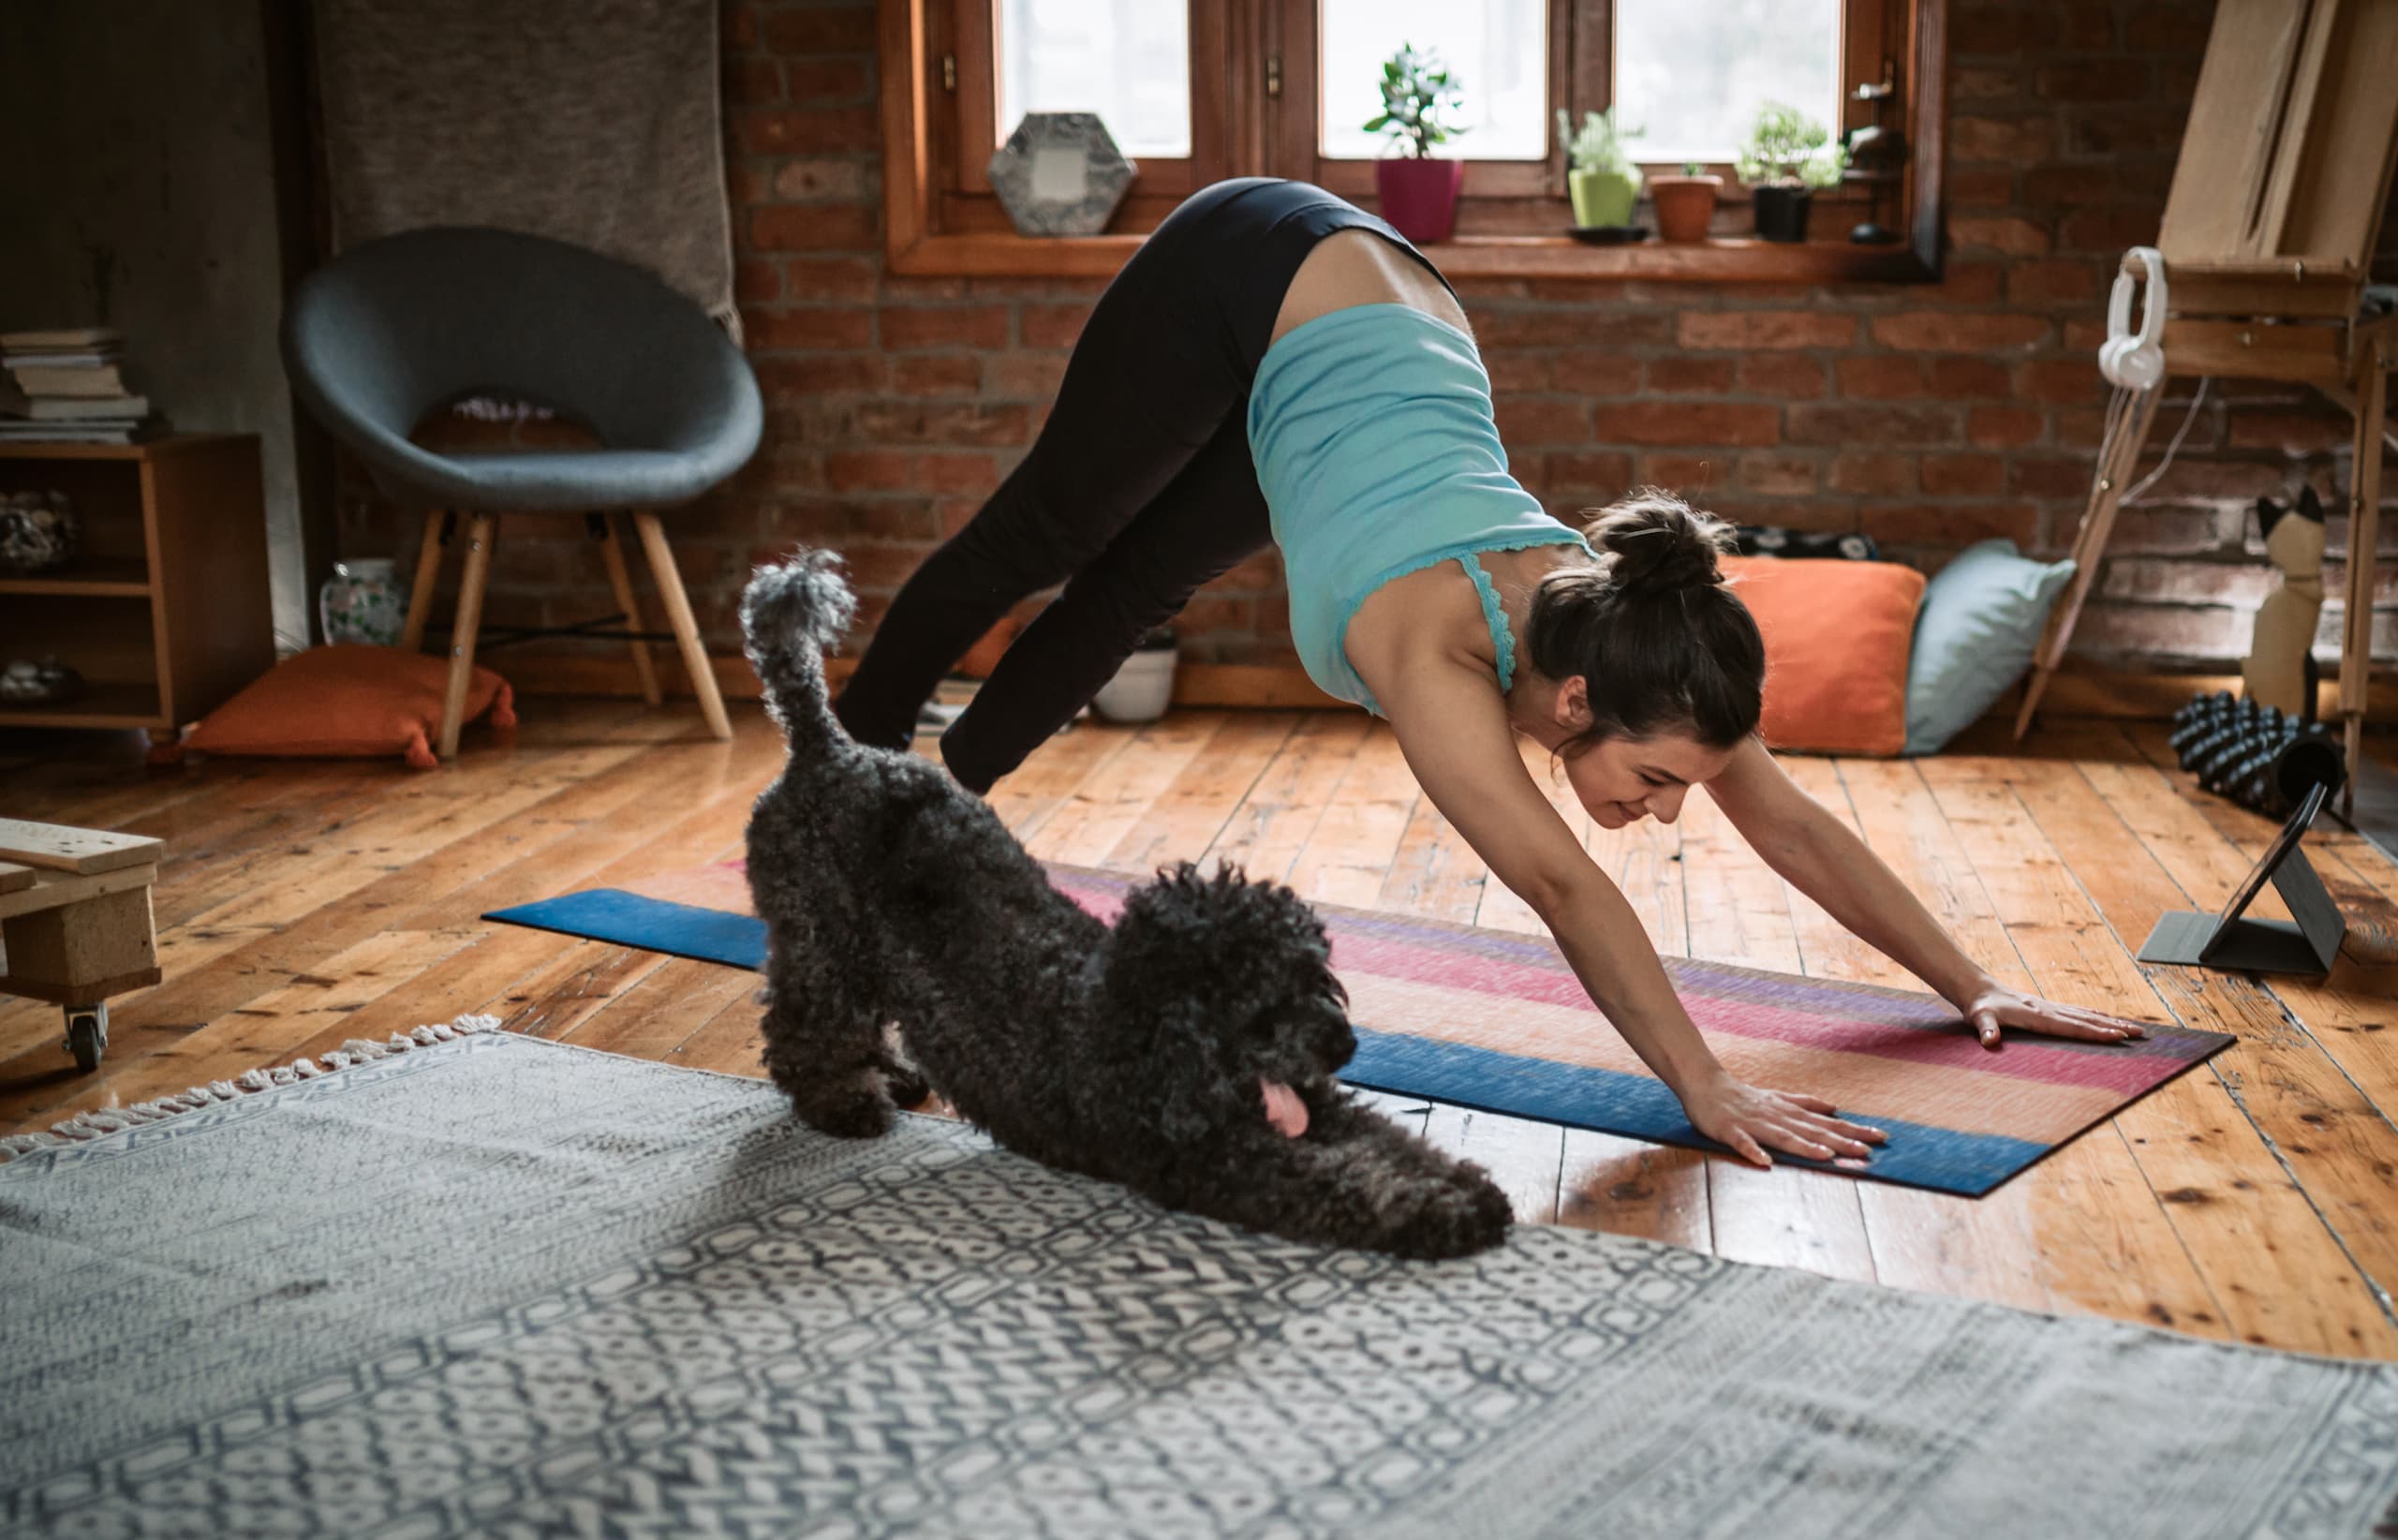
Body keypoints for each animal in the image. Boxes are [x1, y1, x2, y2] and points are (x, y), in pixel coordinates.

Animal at [738, 546, 1505, 1256]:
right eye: (1260, 1001)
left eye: (1317, 975)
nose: (1344, 1044)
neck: (1138, 1029)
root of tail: (826, 747)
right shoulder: (1221, 1161)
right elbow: (1345, 1184)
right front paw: (1443, 1213)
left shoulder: (1316, 1105)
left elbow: (1389, 1141)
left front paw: (1463, 1182)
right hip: (820, 940)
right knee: (801, 1033)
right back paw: (845, 1101)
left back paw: (892, 1075)